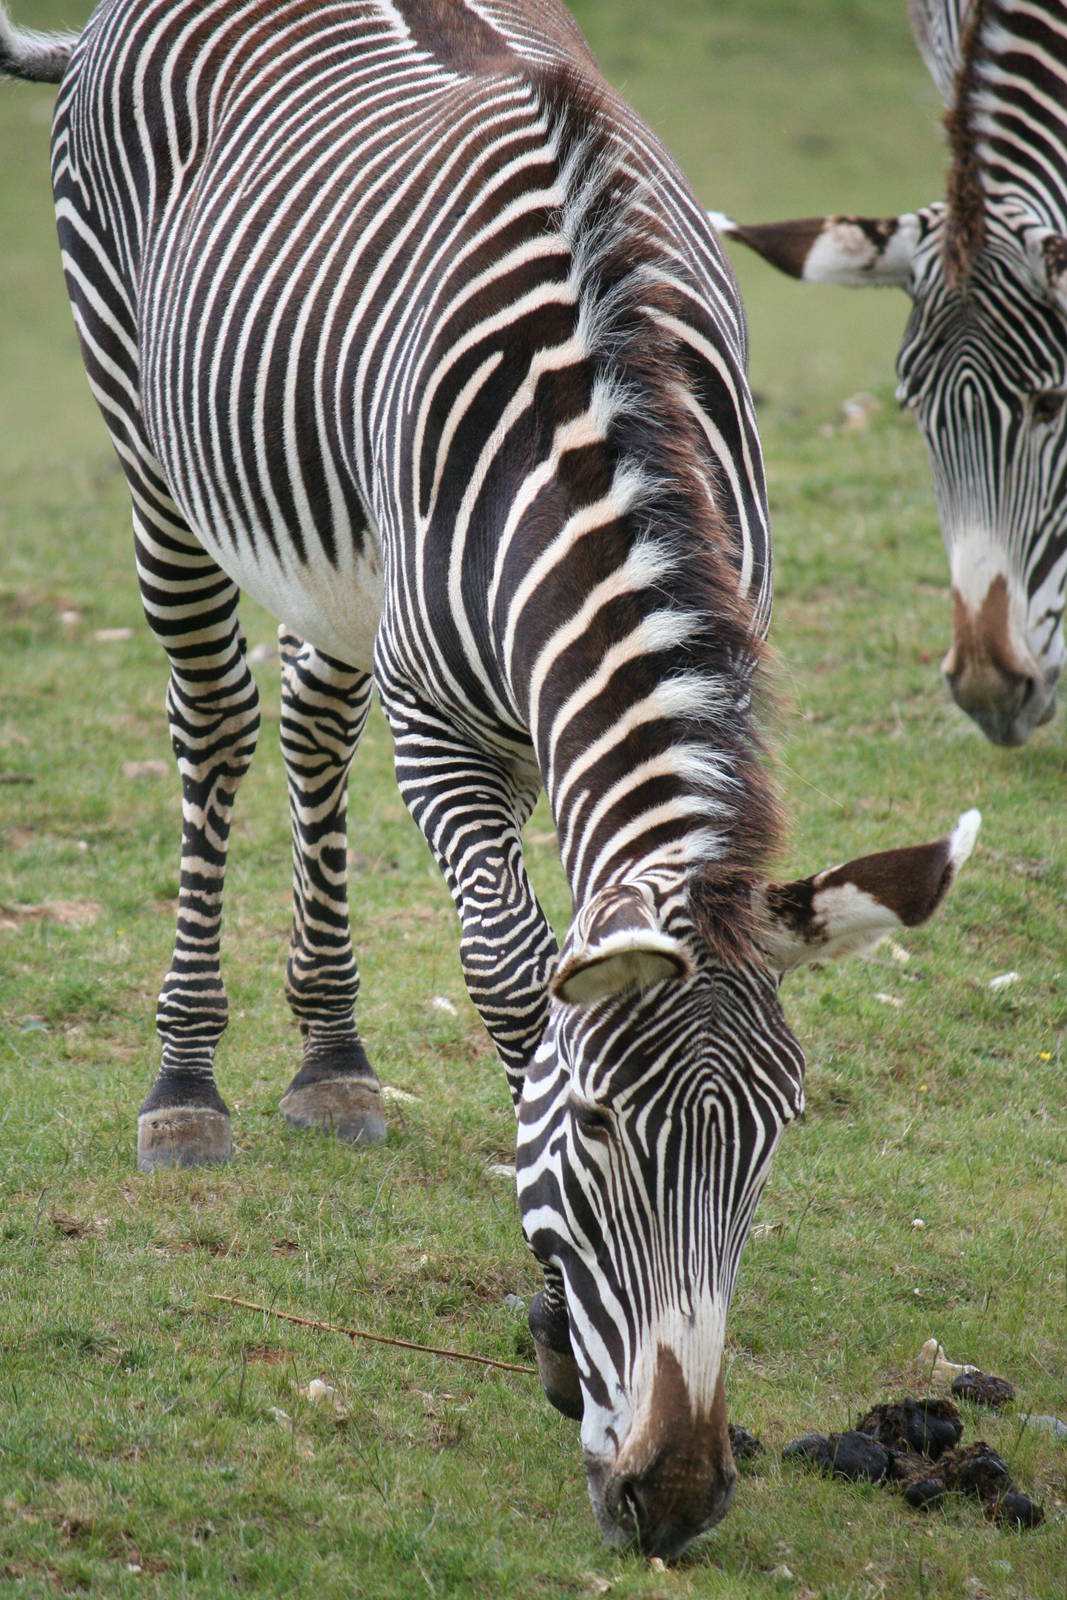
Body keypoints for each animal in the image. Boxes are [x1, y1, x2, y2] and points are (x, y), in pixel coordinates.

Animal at [1, 0, 979, 1555]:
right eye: (592, 1127)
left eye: (774, 1140)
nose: (678, 1495)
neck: (609, 437)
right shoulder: (445, 732)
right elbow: (513, 979)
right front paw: (551, 1335)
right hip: (150, 446)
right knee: (215, 719)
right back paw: (187, 1081)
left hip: (342, 558)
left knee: (312, 713)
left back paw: (333, 1059)